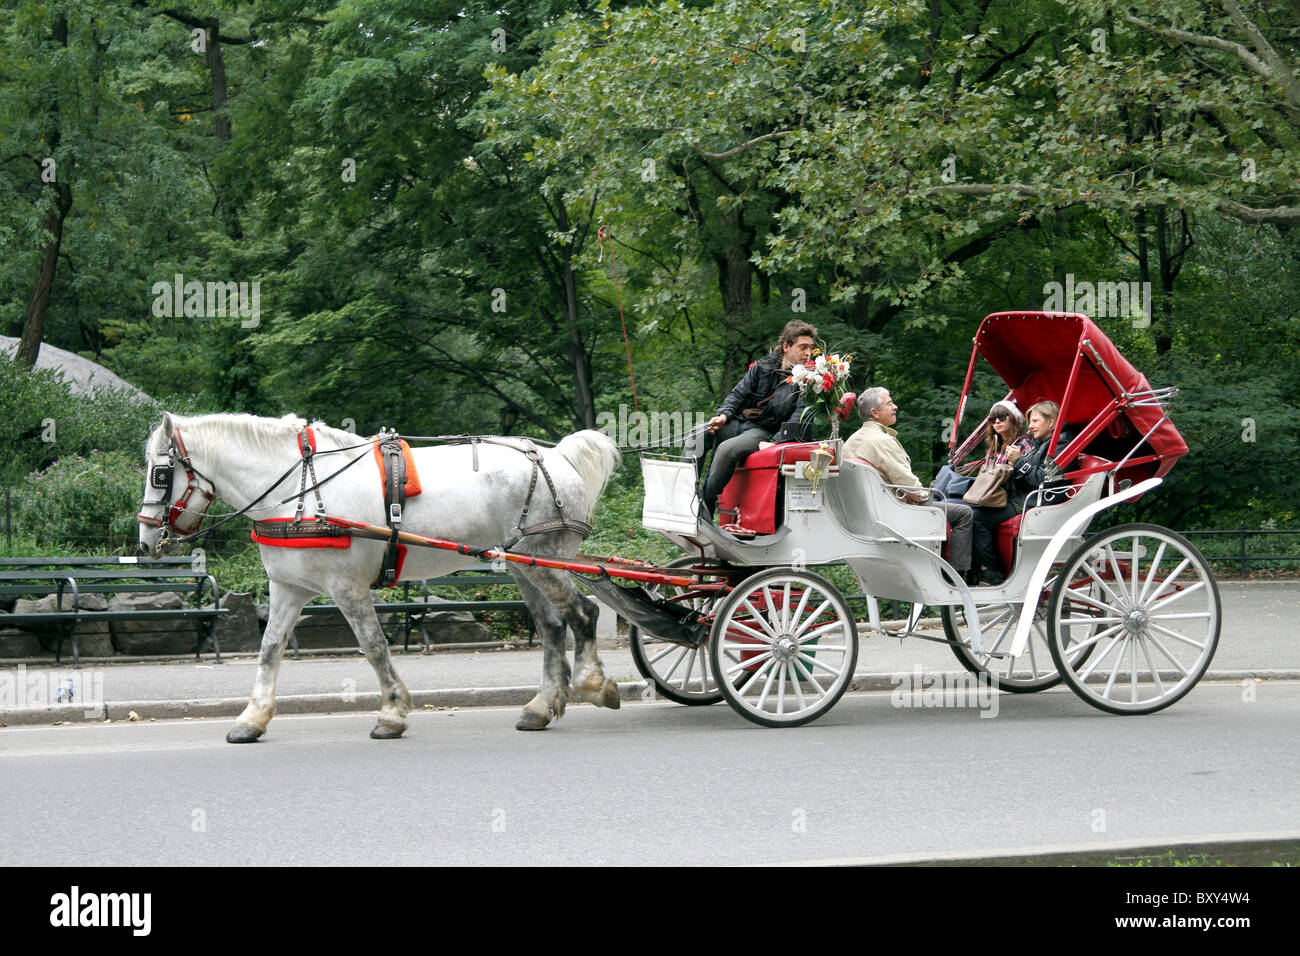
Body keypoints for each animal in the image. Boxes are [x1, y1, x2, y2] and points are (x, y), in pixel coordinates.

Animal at [134, 411, 621, 738]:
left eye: (159, 473)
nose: (145, 541)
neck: (299, 489)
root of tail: (555, 457)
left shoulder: (346, 586)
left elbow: (373, 646)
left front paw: (391, 712)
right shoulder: (288, 588)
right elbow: (269, 649)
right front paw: (252, 718)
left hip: (545, 557)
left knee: (583, 614)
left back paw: (594, 684)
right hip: (524, 564)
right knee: (552, 626)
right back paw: (540, 707)